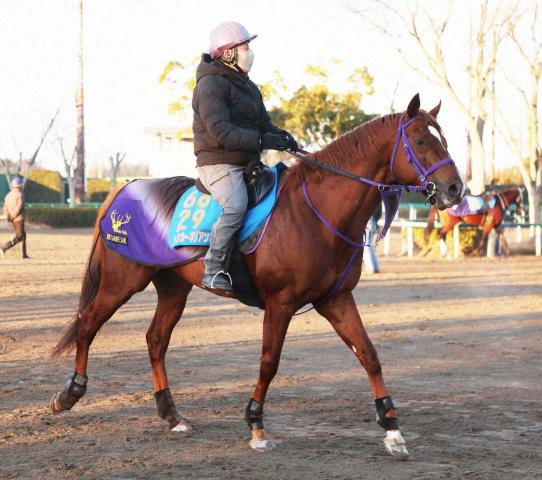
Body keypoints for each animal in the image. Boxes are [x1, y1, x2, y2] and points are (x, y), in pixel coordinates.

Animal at [51, 94, 466, 458]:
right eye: (420, 140)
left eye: (443, 139)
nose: (455, 188)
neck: (314, 212)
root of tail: (123, 191)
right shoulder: (280, 304)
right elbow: (269, 361)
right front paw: (256, 425)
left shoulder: (335, 299)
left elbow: (369, 355)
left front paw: (393, 430)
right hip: (123, 281)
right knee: (88, 322)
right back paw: (69, 394)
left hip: (173, 287)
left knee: (155, 340)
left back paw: (172, 415)